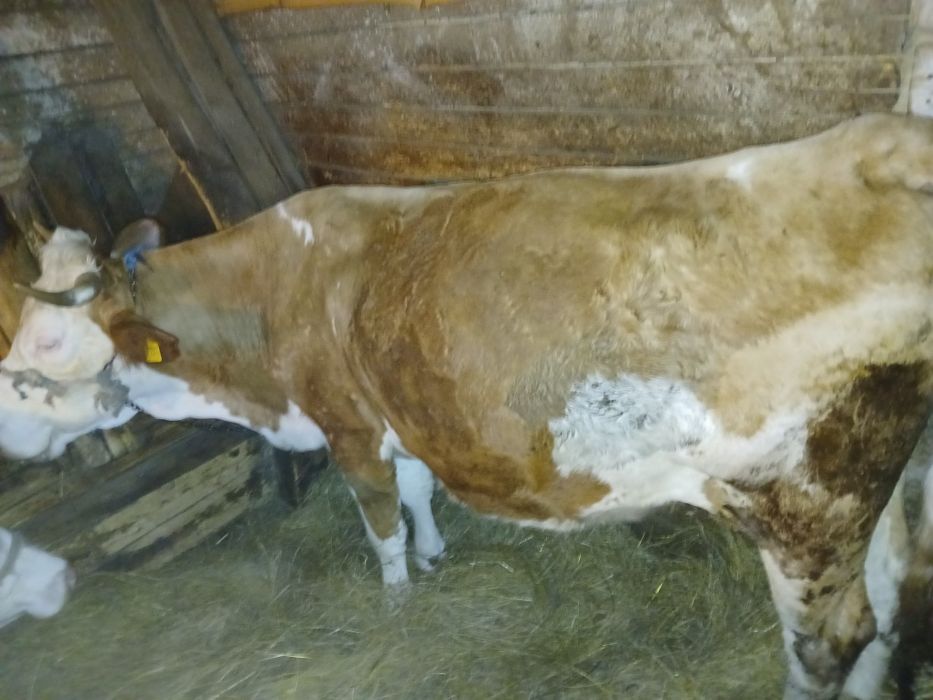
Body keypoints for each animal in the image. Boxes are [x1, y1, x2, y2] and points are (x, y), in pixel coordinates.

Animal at [0, 112, 930, 699]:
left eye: (45, 342)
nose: (5, 416)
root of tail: (881, 140)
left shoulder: (346, 424)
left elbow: (379, 524)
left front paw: (397, 600)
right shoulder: (399, 412)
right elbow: (417, 492)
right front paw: (437, 553)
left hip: (804, 501)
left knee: (831, 642)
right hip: (881, 478)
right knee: (889, 602)